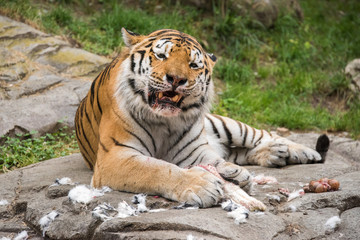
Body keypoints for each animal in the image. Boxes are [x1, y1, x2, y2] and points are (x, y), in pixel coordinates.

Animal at [75, 28, 330, 208]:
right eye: (161, 55)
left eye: (193, 64)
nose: (176, 79)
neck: (163, 122)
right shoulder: (115, 157)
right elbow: (158, 169)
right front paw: (203, 185)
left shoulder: (193, 151)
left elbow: (212, 160)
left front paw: (233, 175)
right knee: (238, 152)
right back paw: (275, 155)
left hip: (228, 125)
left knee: (263, 134)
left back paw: (301, 151)